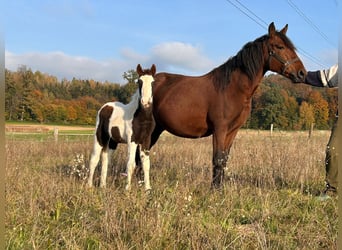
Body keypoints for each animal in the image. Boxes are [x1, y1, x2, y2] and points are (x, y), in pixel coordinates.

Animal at [138, 22, 306, 188]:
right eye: (279, 46)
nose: (302, 73)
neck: (232, 88)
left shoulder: (232, 131)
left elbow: (224, 159)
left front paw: (219, 189)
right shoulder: (220, 129)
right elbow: (217, 159)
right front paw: (214, 190)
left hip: (157, 128)